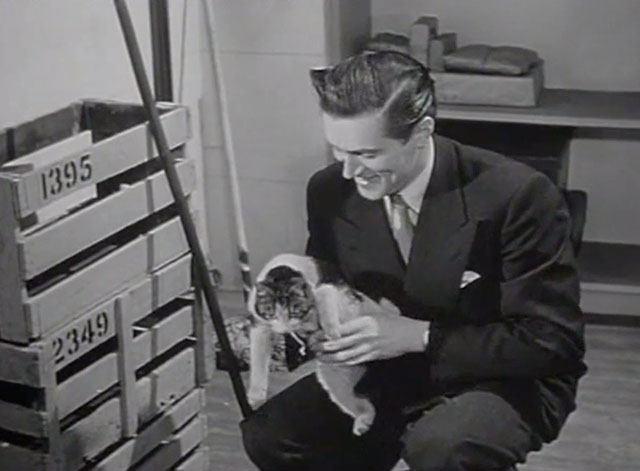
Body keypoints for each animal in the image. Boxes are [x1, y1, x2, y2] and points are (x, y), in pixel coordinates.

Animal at [246, 256, 390, 436]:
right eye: (271, 312)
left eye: (294, 312)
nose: (285, 328)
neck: (282, 273)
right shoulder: (259, 325)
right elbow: (258, 356)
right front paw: (255, 396)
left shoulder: (326, 286)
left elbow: (324, 299)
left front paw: (332, 331)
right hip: (334, 379)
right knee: (362, 404)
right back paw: (362, 424)